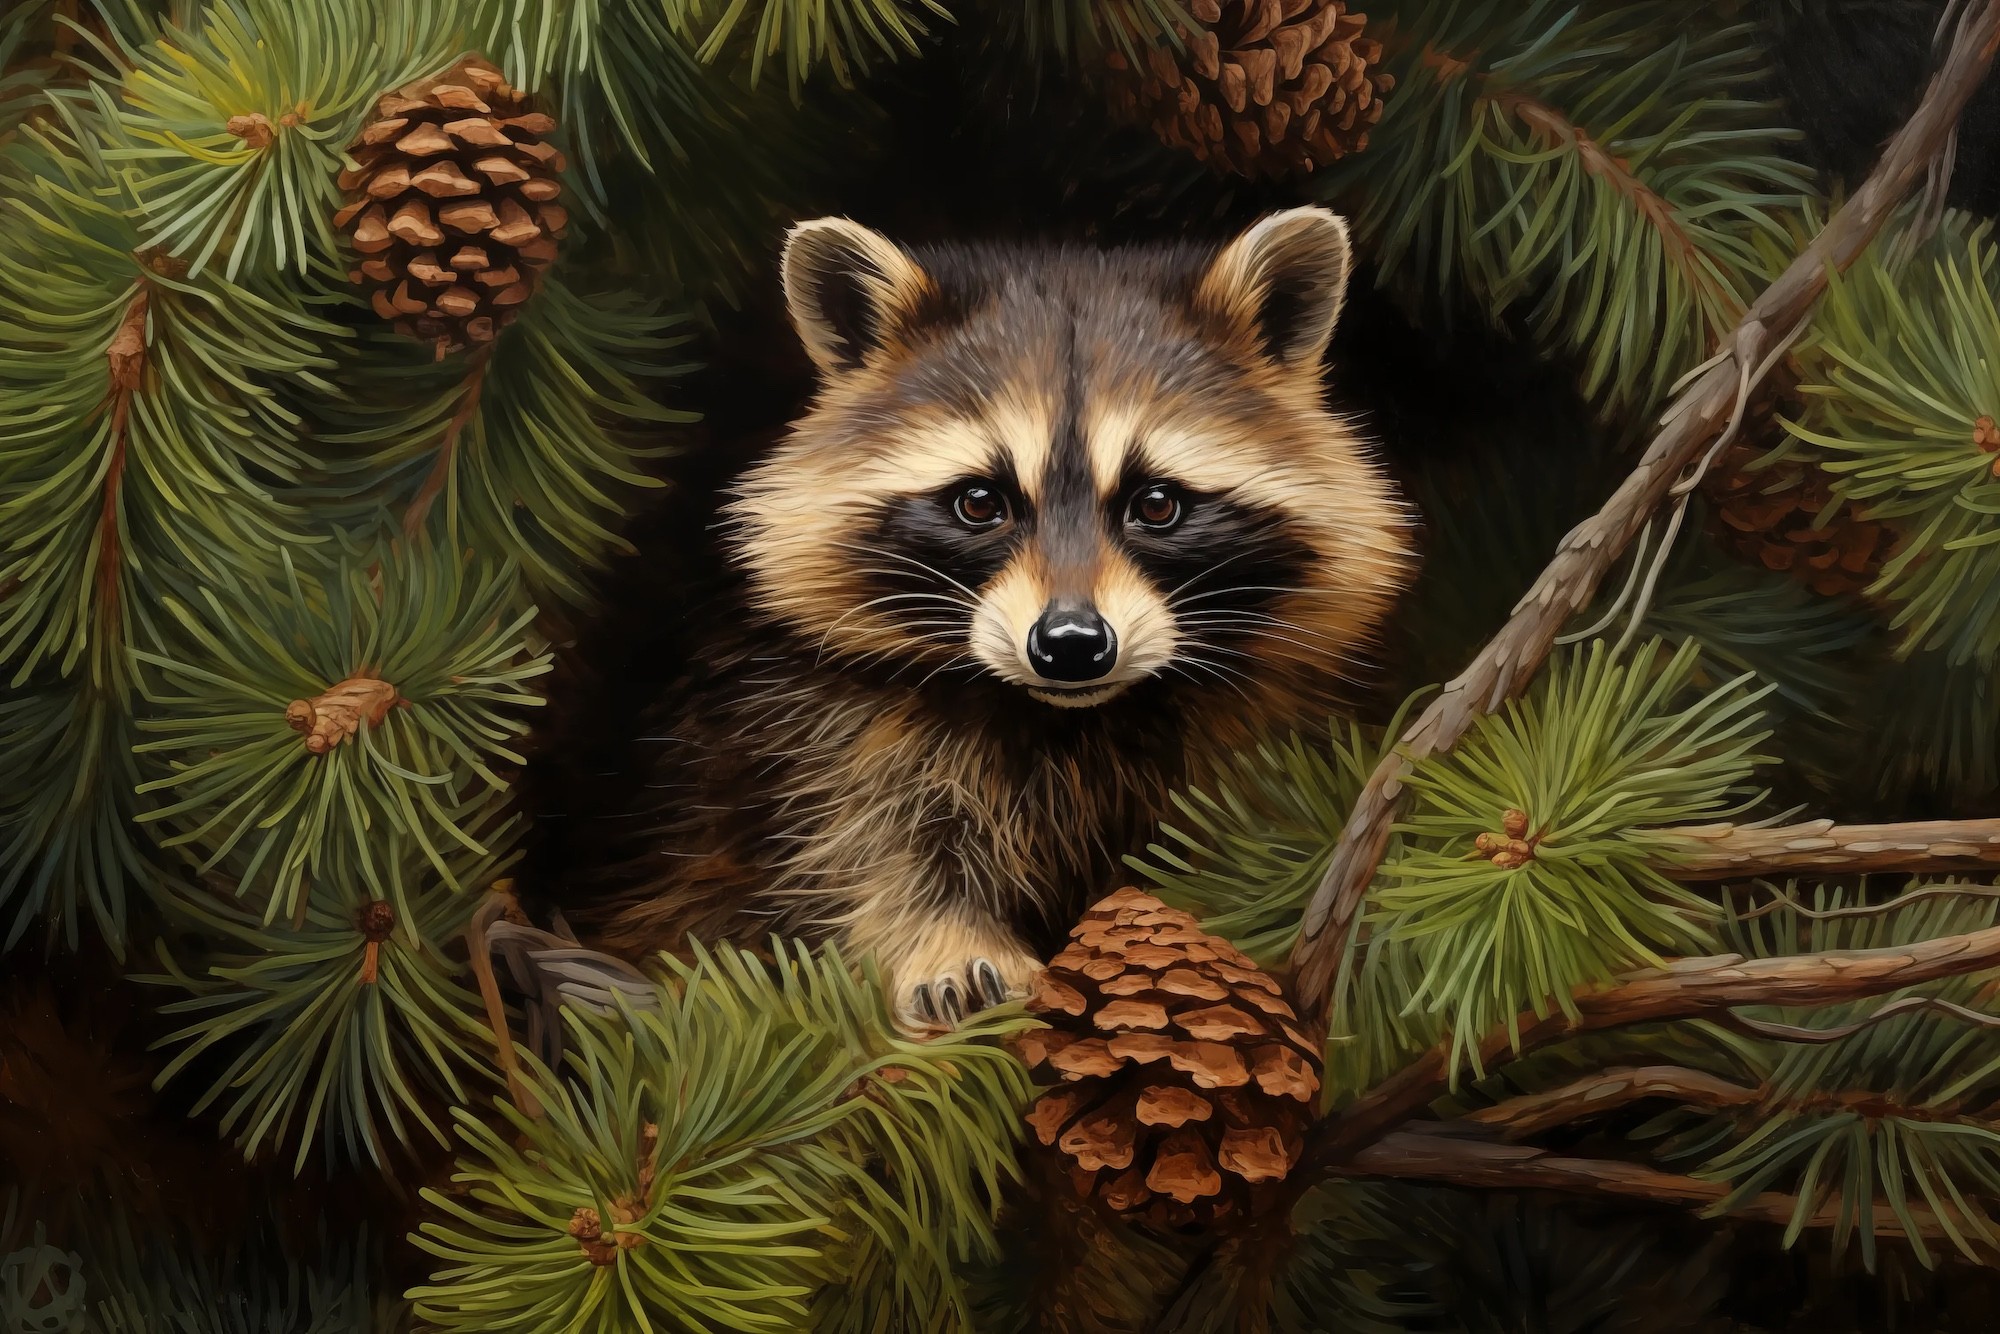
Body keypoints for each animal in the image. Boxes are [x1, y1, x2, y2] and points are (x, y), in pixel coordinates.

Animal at [557, 206, 1414, 1031]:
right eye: (979, 502)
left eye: (1157, 504)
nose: (1071, 646)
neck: (1070, 719)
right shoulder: (803, 723)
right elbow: (867, 842)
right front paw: (947, 943)